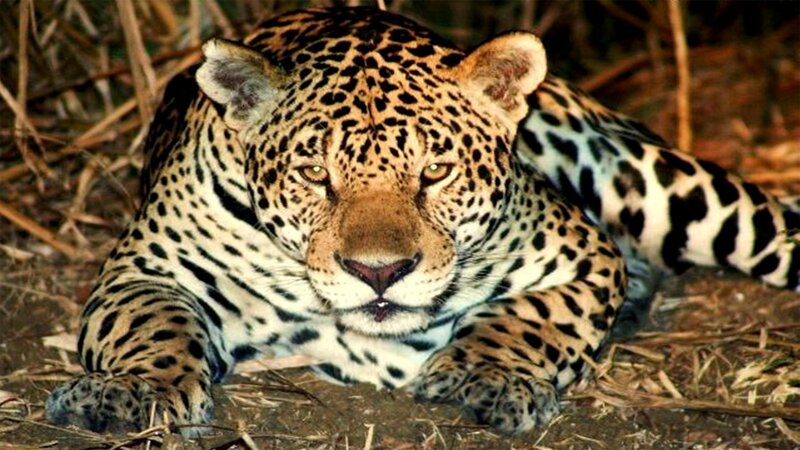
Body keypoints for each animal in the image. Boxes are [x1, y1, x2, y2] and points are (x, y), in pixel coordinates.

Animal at [46, 7, 800, 436]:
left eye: (434, 173)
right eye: (315, 176)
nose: (378, 273)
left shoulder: (581, 254)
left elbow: (529, 319)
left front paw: (483, 376)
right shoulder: (143, 273)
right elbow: (152, 326)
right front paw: (134, 392)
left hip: (664, 185)